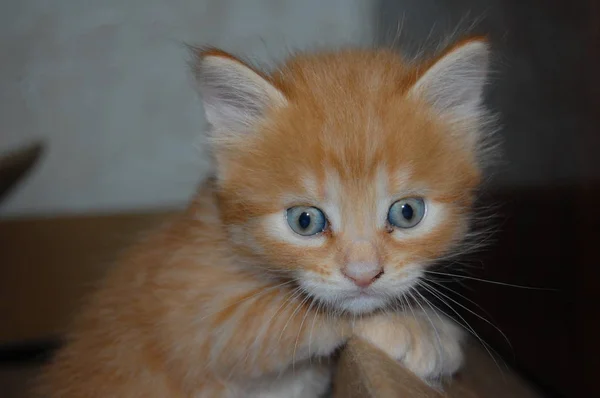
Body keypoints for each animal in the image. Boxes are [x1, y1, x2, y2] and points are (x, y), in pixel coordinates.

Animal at [38, 38, 492, 398]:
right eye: (305, 221)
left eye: (407, 212)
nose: (363, 274)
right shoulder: (198, 316)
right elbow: (288, 313)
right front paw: (416, 326)